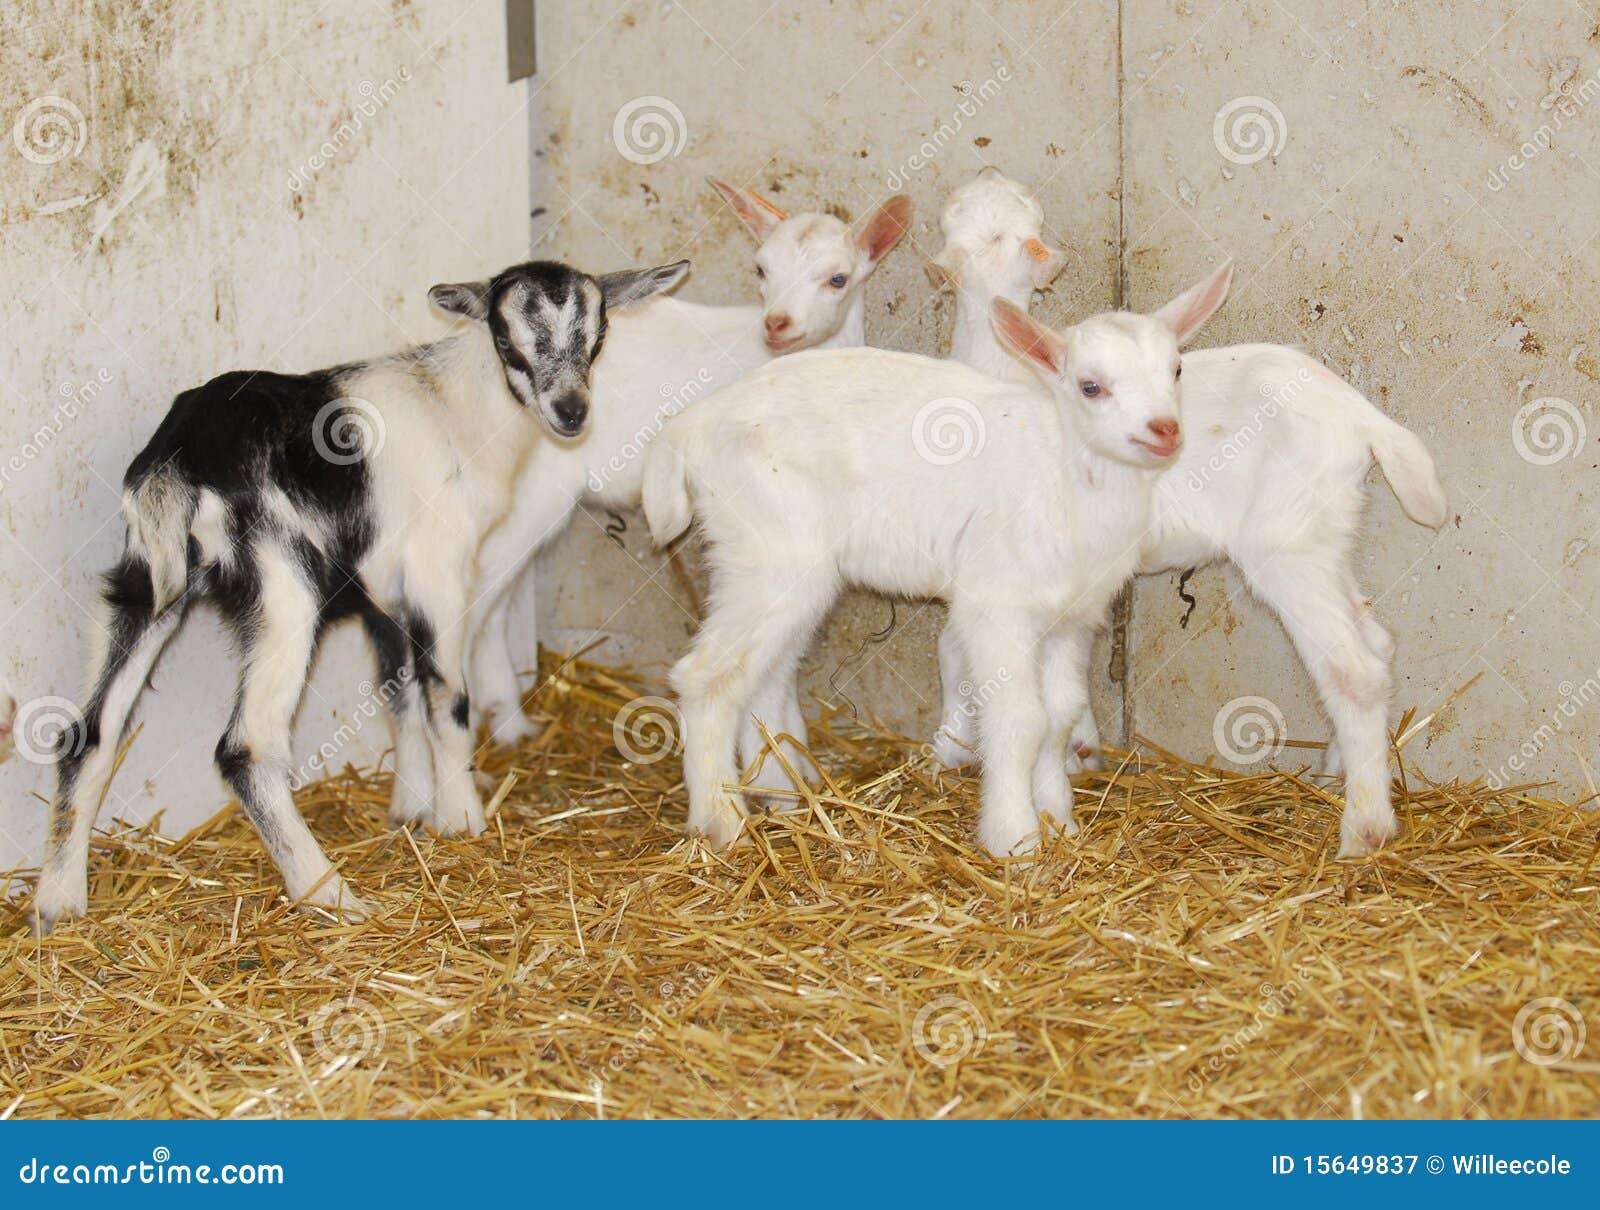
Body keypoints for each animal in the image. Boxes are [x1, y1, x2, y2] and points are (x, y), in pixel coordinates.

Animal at [29, 257, 688, 933]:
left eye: (598, 336)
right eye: (506, 341)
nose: (571, 412)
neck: (455, 409)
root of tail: (182, 460)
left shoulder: (384, 595)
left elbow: (399, 695)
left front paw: (412, 810)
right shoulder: (437, 570)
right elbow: (445, 696)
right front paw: (462, 817)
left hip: (145, 581)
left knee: (88, 732)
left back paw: (58, 904)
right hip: (284, 588)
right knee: (246, 747)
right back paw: (328, 893)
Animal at [465, 181, 911, 744]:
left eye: (838, 278)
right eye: (761, 269)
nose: (778, 324)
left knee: (495, 602)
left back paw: (508, 724)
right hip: (530, 489)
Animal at [642, 266, 1232, 856]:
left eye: (1176, 369)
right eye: (1091, 386)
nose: (1165, 430)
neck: (1065, 471)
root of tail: (690, 425)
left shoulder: (1071, 619)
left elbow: (1059, 719)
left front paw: (1059, 823)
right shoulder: (997, 606)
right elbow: (1020, 720)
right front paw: (1015, 840)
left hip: (788, 571)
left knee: (763, 675)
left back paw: (780, 795)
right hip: (766, 548)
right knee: (707, 675)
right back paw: (721, 821)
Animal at [927, 170, 1447, 857]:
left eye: (1018, 218)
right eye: (958, 215)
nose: (988, 173)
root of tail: (1363, 418)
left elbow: (954, 648)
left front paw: (953, 747)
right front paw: (1079, 749)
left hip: (1286, 548)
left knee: (1352, 669)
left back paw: (1363, 830)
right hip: (1324, 533)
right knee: (1377, 644)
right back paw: (1339, 773)